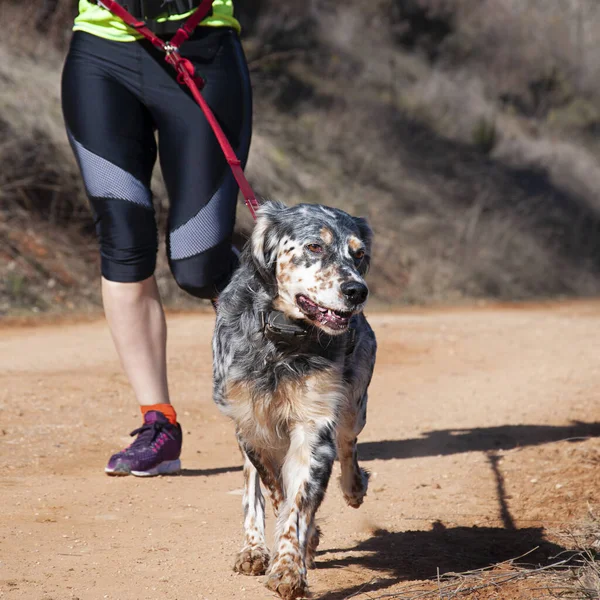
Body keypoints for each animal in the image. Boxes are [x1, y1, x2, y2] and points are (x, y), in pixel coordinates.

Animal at [213, 203, 378, 600]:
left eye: (359, 253)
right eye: (315, 247)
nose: (357, 291)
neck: (281, 342)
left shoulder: (313, 424)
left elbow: (298, 501)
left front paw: (289, 567)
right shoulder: (251, 425)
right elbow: (275, 491)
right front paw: (285, 549)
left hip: (355, 404)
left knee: (348, 442)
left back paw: (353, 488)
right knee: (251, 486)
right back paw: (253, 547)